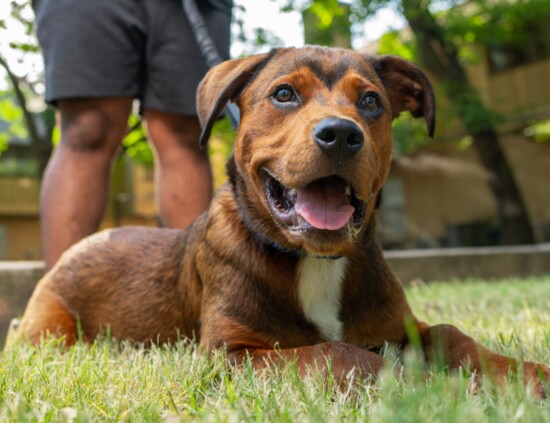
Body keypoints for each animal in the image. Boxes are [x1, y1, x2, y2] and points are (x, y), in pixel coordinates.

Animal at [15, 48, 548, 396]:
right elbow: (342, 355)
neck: (315, 260)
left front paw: (520, 375)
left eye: (371, 102)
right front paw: (433, 390)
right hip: (48, 335)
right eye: (285, 94)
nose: (340, 135)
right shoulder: (231, 355)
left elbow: (451, 334)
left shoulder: (401, 326)